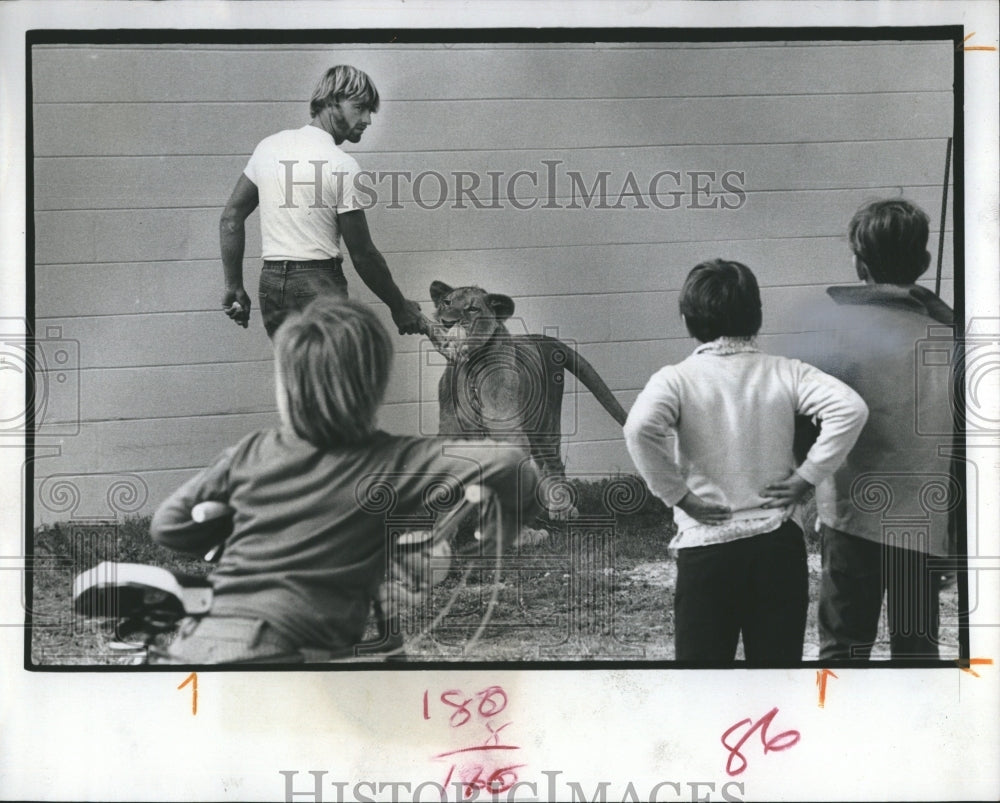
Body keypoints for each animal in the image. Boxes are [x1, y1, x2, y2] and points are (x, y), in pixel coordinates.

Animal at [422, 282, 624, 520]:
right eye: (447, 302)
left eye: (472, 308)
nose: (447, 322)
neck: (471, 365)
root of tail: (547, 340)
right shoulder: (450, 430)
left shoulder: (508, 431)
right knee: (543, 464)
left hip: (546, 425)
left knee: (554, 464)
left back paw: (562, 510)